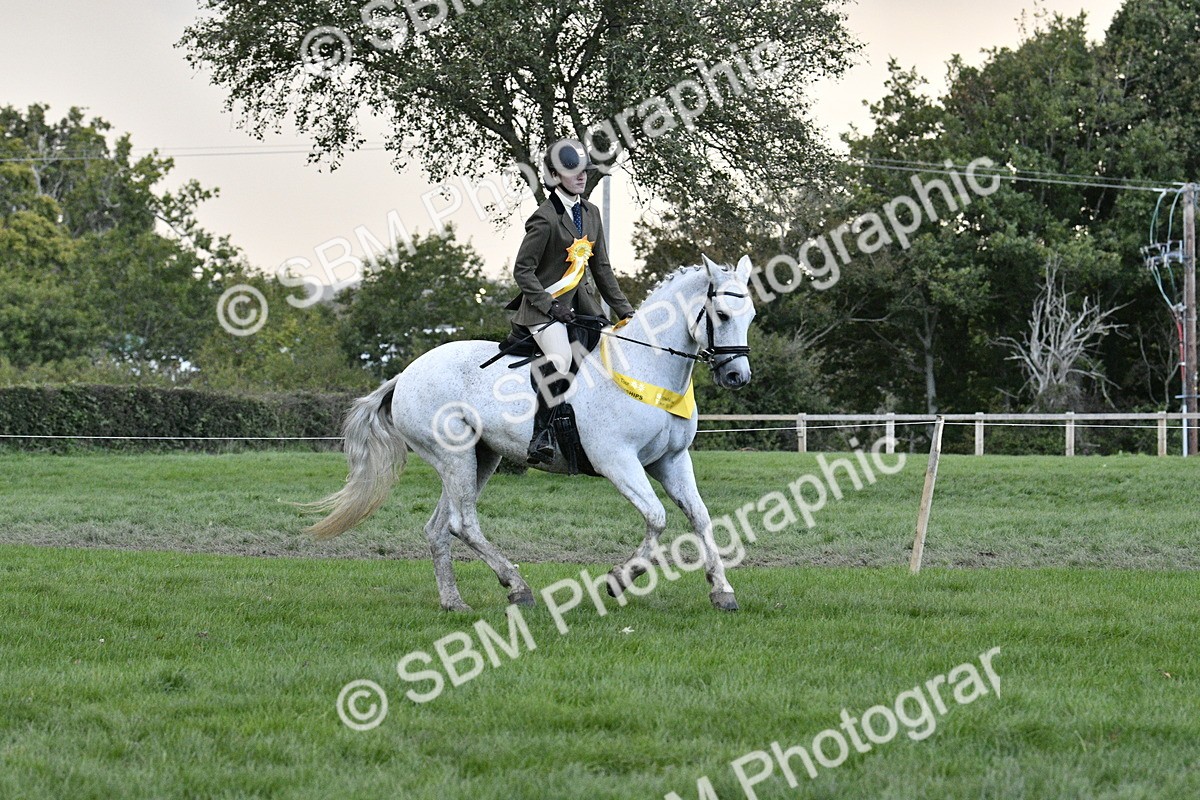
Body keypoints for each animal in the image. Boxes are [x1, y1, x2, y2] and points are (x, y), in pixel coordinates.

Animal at [305, 254, 756, 611]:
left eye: (750, 316)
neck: (646, 368)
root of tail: (405, 374)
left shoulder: (671, 460)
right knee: (462, 523)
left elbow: (701, 518)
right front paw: (618, 580)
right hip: (454, 455)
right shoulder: (617, 461)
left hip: (479, 457)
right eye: (722, 315)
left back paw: (454, 602)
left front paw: (722, 591)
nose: (738, 376)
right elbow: (657, 517)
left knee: (439, 527)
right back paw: (517, 586)